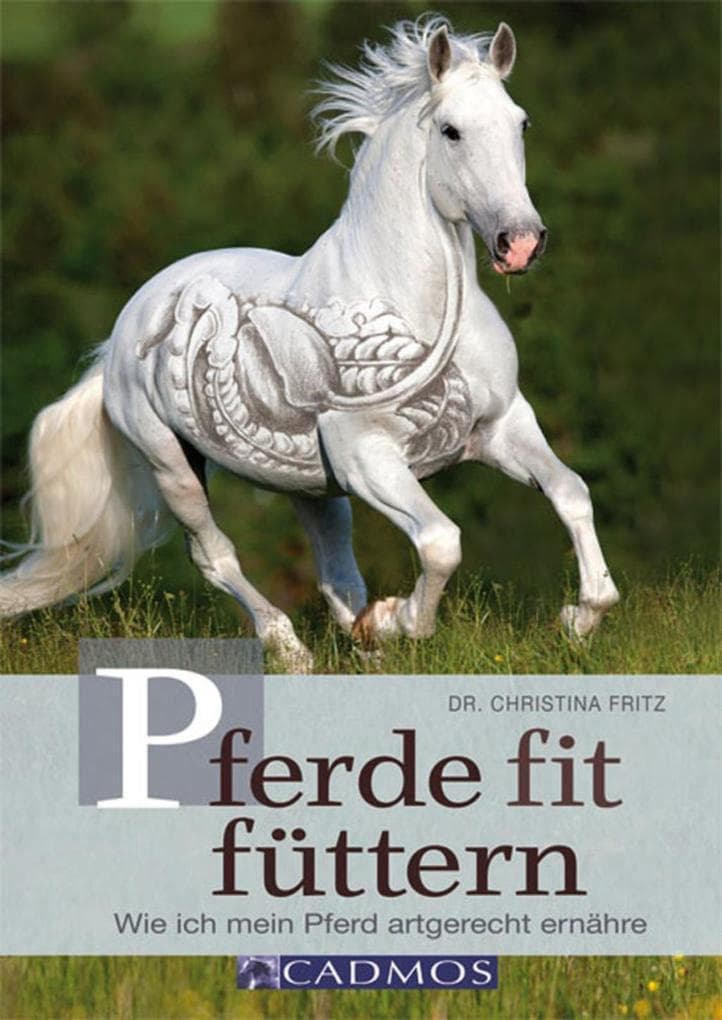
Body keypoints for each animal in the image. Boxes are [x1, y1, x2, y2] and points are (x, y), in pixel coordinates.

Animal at [0, 17, 619, 670]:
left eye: (520, 122)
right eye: (451, 131)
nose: (520, 242)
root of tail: (122, 334)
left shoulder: (501, 425)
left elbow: (571, 494)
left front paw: (578, 620)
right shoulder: (367, 455)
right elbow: (441, 542)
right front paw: (399, 621)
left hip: (307, 486)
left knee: (334, 571)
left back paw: (362, 641)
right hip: (172, 463)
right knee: (215, 555)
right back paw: (293, 648)